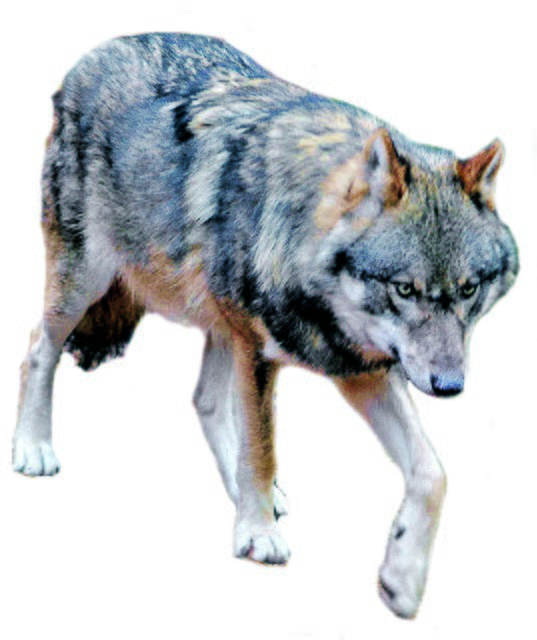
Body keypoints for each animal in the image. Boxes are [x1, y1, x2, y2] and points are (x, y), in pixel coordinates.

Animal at [14, 33, 518, 618]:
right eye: (405, 289)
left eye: (469, 289)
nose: (450, 386)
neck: (296, 235)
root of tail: (97, 51)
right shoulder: (258, 349)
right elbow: (262, 447)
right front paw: (257, 535)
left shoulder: (357, 366)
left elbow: (433, 473)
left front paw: (403, 578)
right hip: (86, 282)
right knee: (37, 346)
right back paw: (32, 448)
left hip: (213, 323)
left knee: (205, 401)